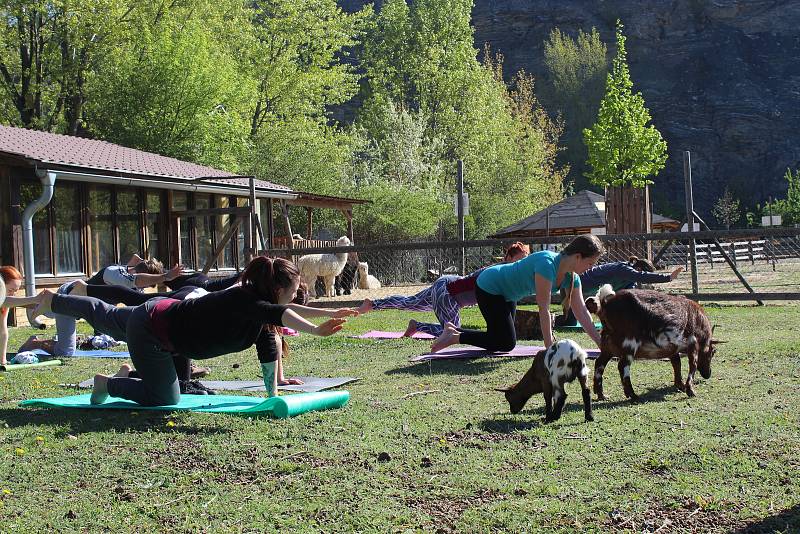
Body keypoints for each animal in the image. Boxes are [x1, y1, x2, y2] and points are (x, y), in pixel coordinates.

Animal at [584, 284, 720, 402]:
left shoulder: (673, 348)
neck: (697, 321)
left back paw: (602, 395)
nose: (708, 374)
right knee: (622, 366)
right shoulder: (693, 344)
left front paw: (680, 385)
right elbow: (693, 365)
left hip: (608, 346)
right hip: (629, 344)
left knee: (599, 364)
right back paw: (633, 395)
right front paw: (690, 391)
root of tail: (605, 304)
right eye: (713, 352)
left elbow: (677, 364)